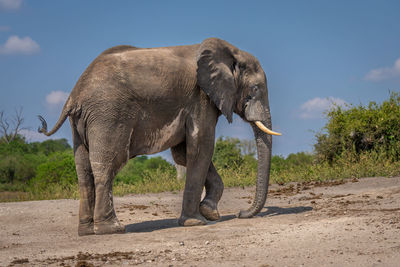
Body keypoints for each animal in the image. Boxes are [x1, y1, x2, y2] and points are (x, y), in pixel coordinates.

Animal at [38, 37, 282, 237]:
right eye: (255, 89)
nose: (241, 213)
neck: (231, 51)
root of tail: (74, 95)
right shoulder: (200, 97)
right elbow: (201, 147)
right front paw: (196, 222)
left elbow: (183, 153)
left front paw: (210, 213)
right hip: (108, 114)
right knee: (108, 165)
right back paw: (112, 229)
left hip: (81, 124)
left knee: (83, 171)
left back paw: (87, 231)